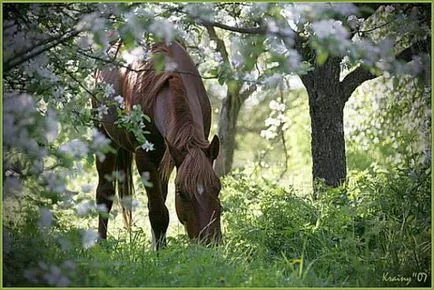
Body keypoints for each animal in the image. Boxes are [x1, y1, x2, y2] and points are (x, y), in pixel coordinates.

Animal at [93, 40, 222, 249]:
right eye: (182, 193)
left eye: (217, 187)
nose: (209, 243)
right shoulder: (144, 158)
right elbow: (158, 212)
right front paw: (161, 252)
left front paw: (158, 247)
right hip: (103, 137)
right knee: (104, 193)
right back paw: (100, 244)